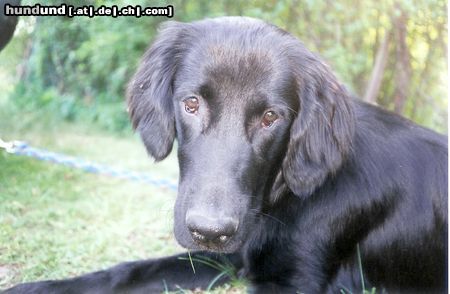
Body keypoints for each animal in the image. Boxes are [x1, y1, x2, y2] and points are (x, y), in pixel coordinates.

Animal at [4, 16, 446, 294]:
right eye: (192, 103)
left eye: (270, 117)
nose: (210, 231)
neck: (278, 199)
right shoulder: (228, 256)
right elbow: (127, 272)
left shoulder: (292, 282)